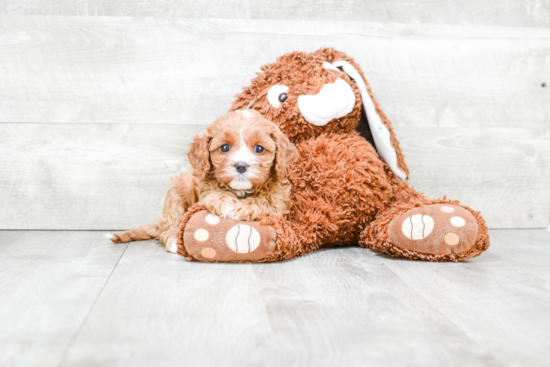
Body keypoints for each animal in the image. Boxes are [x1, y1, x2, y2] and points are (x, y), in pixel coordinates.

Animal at [108, 110, 298, 253]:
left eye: (259, 148)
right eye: (225, 147)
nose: (241, 166)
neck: (240, 191)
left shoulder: (279, 200)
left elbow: (265, 201)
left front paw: (241, 208)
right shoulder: (204, 186)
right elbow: (214, 194)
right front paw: (226, 204)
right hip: (177, 192)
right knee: (170, 225)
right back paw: (174, 240)